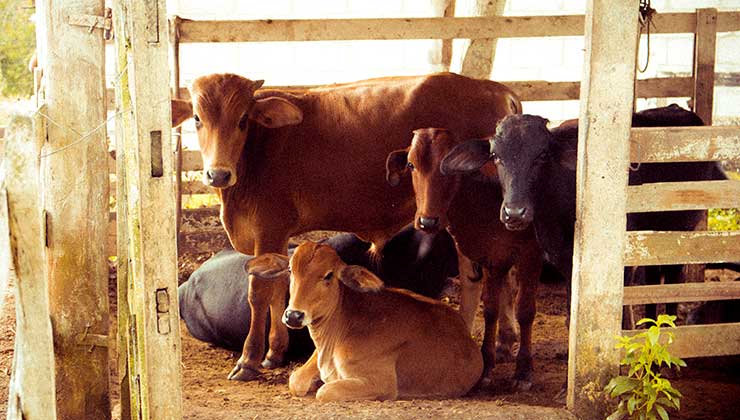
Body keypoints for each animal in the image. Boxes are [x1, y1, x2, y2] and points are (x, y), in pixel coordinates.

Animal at [246, 243, 482, 404]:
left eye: (329, 275)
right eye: (290, 270)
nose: (294, 316)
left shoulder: (381, 383)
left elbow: (326, 391)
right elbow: (295, 380)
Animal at [388, 128, 544, 390]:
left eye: (448, 167)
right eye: (411, 164)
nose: (427, 221)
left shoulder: (530, 255)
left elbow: (524, 310)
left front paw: (523, 371)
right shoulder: (492, 258)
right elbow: (490, 309)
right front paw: (486, 366)